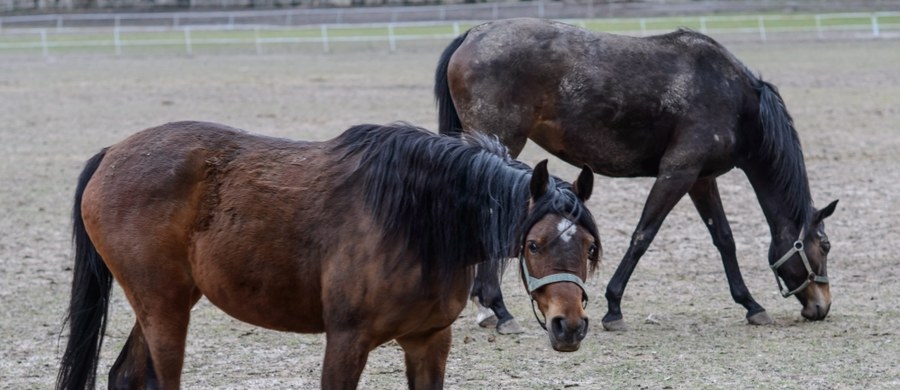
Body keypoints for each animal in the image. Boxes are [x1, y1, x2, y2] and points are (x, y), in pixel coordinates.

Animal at [59, 121, 600, 386]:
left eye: (589, 247)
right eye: (533, 244)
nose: (569, 326)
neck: (417, 219)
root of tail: (111, 154)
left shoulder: (429, 342)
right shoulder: (346, 341)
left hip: (164, 302)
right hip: (164, 308)